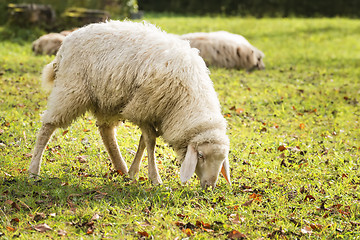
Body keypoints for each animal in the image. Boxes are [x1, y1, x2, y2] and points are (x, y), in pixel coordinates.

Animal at [28, 20, 231, 189]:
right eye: (201, 156)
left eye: (222, 159)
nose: (209, 186)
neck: (187, 100)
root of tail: (66, 42)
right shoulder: (143, 107)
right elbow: (150, 142)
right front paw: (155, 178)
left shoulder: (149, 111)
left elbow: (143, 141)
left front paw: (133, 173)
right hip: (71, 89)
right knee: (47, 126)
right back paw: (33, 170)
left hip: (107, 99)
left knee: (106, 131)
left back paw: (121, 168)